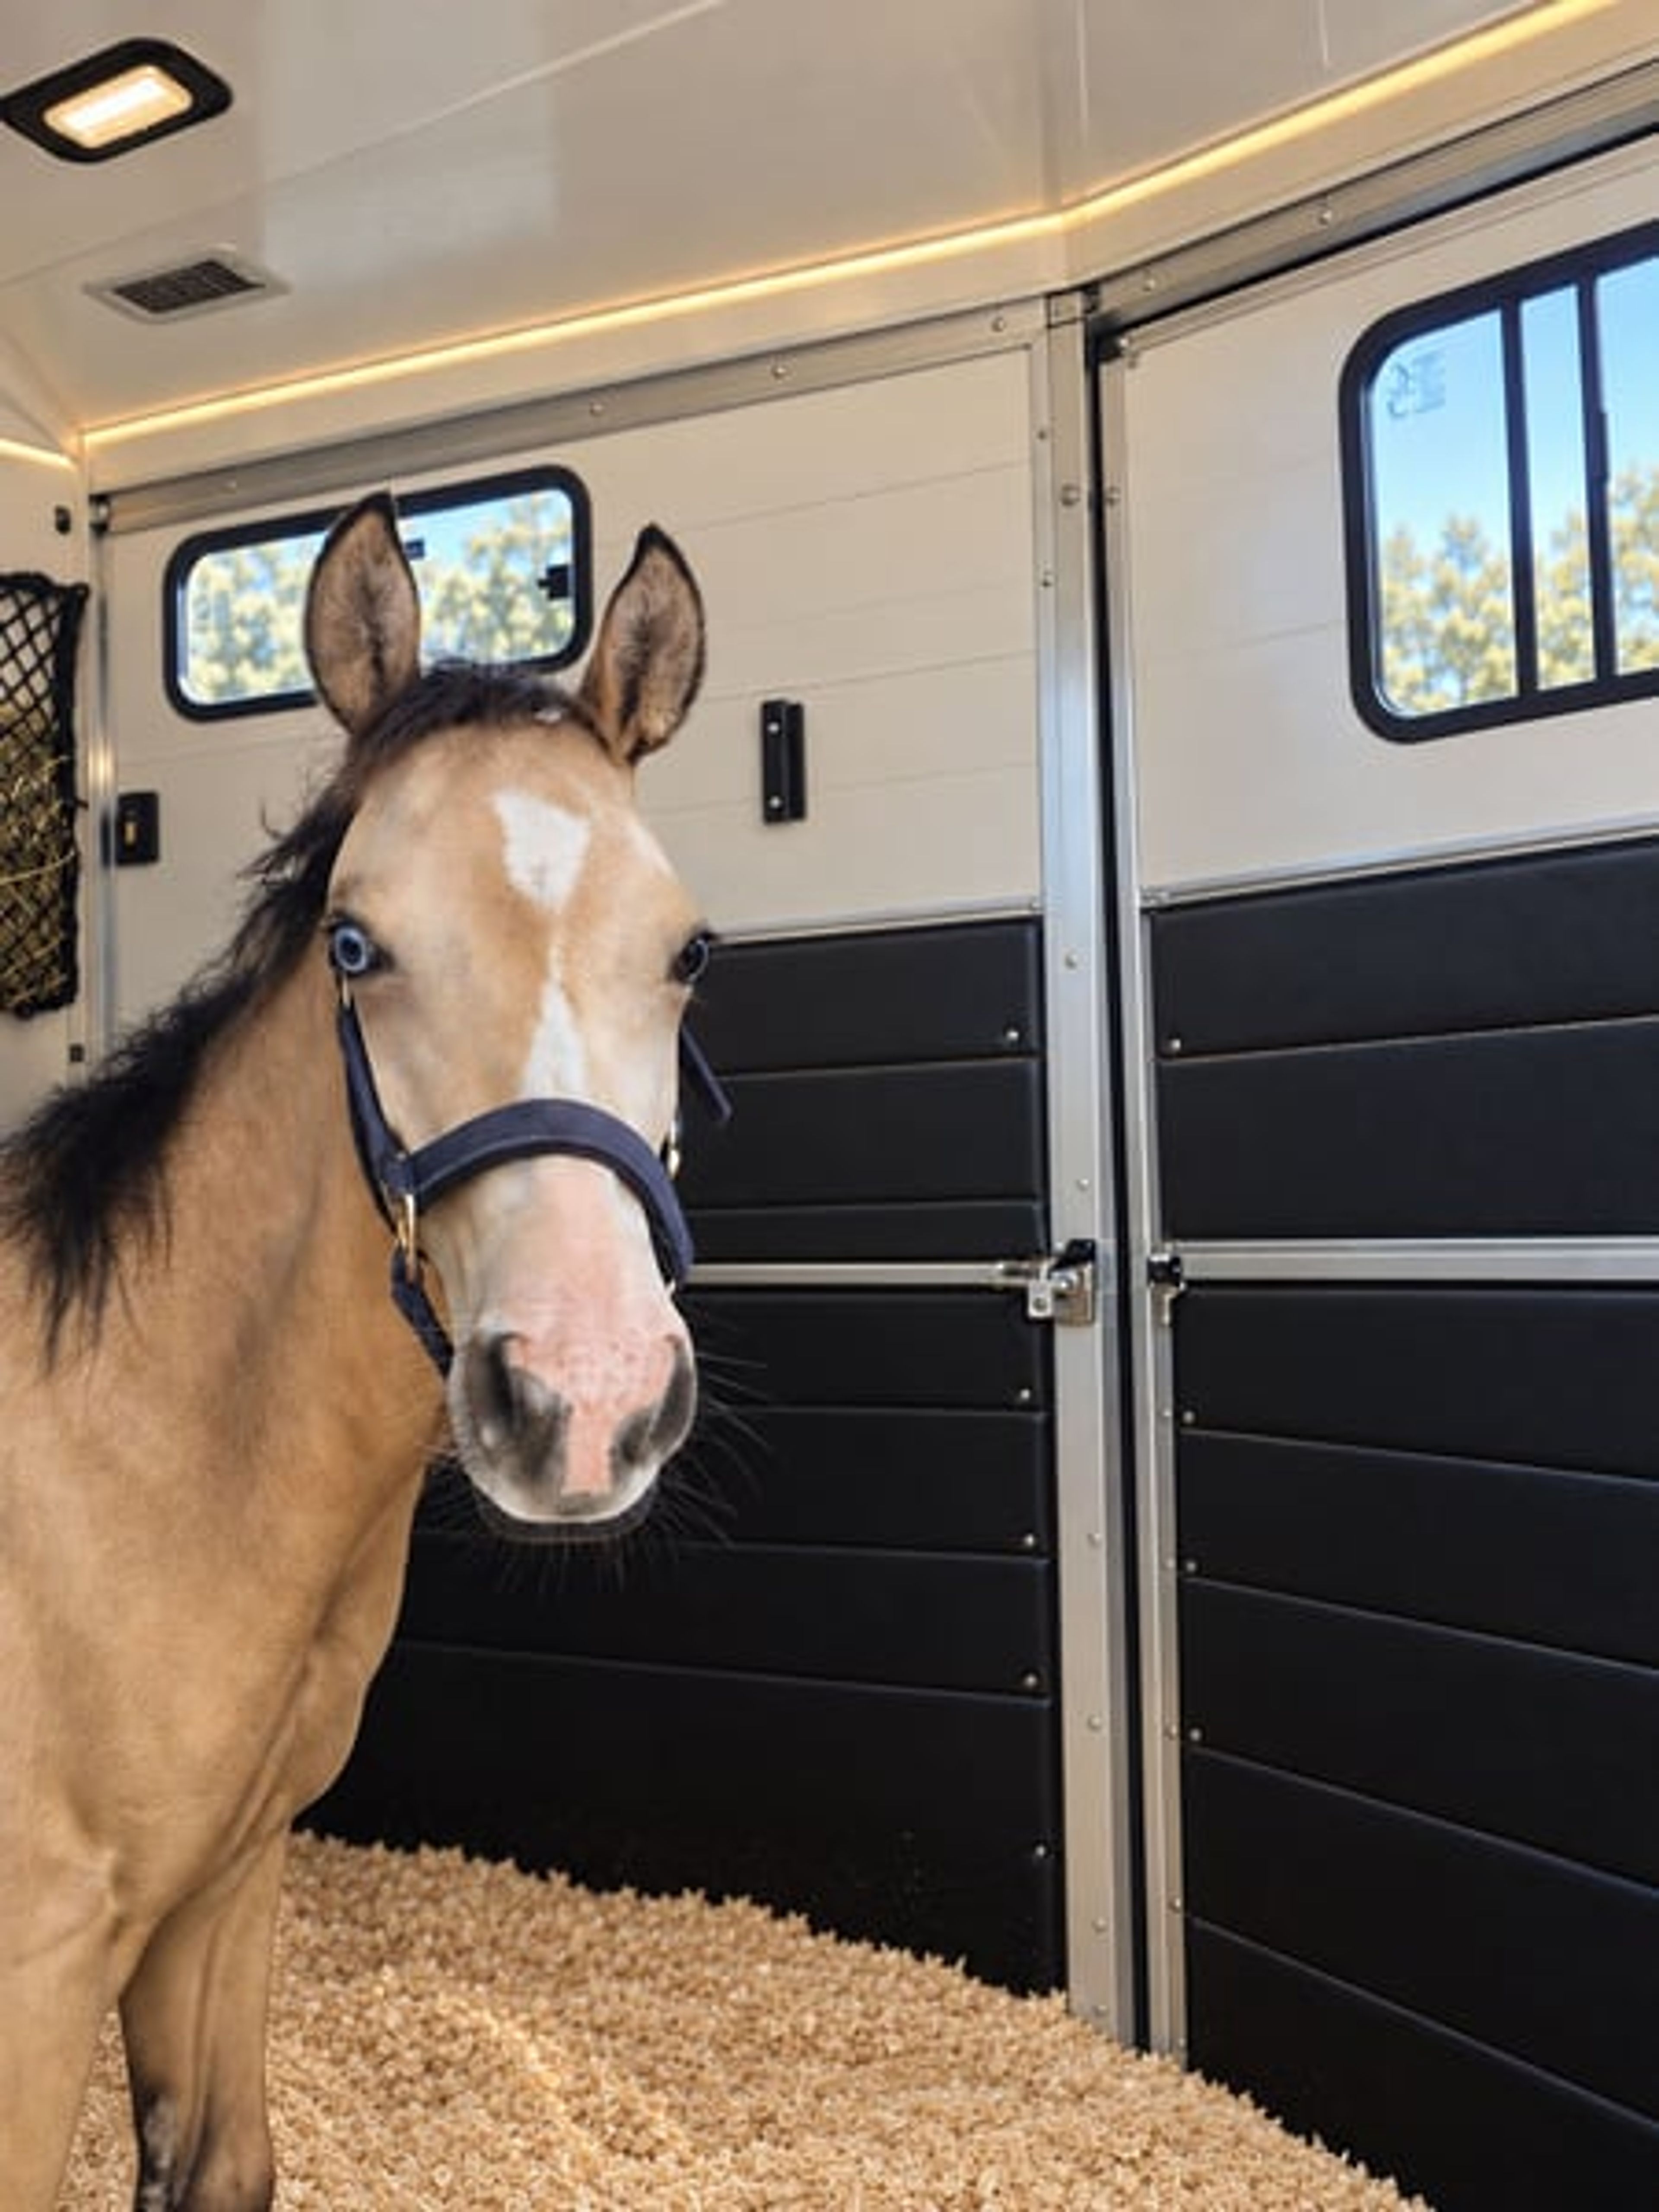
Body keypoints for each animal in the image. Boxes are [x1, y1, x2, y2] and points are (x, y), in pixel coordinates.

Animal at [0, 493, 711, 2210]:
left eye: (688, 953)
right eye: (354, 943)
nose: (584, 1398)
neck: (138, 1458)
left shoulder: (219, 1891)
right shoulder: (36, 1969)